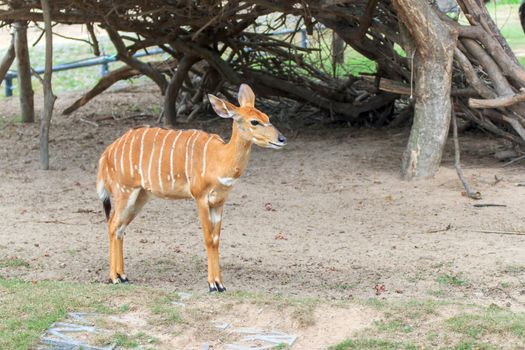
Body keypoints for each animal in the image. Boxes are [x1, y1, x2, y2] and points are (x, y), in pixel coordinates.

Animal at [97, 83, 286, 292]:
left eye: (267, 117)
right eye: (254, 121)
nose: (282, 139)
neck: (219, 159)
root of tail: (106, 153)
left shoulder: (219, 201)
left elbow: (216, 239)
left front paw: (221, 284)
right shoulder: (200, 197)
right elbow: (208, 238)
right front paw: (213, 285)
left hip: (141, 196)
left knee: (119, 227)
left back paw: (123, 276)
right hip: (124, 191)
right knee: (112, 224)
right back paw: (113, 278)